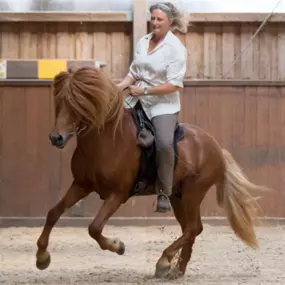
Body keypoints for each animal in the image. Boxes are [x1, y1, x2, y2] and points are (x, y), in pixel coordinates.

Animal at [36, 66, 266, 278]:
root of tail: (216, 147)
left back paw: (164, 262)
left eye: (78, 103)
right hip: (177, 196)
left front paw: (118, 246)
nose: (56, 137)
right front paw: (42, 257)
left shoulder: (117, 195)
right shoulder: (81, 185)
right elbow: (53, 213)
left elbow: (94, 227)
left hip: (193, 194)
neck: (106, 141)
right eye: (59, 101)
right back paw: (177, 270)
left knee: (193, 228)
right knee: (192, 228)